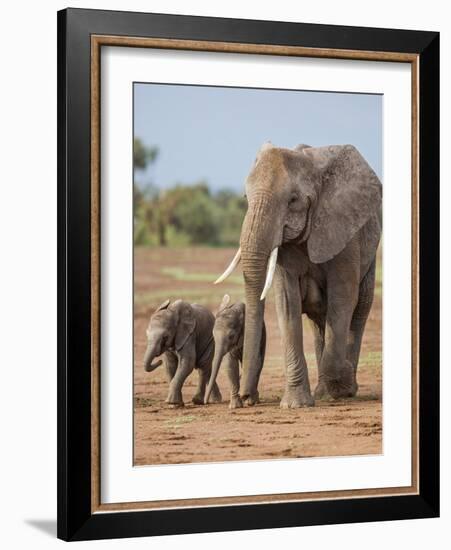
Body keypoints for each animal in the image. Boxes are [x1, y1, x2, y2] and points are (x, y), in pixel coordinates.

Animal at [215, 142, 382, 410]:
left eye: (292, 200)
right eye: (245, 198)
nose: (246, 397)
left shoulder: (343, 232)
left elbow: (343, 299)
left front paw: (343, 384)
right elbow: (287, 303)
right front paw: (296, 405)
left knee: (358, 311)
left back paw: (342, 388)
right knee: (319, 320)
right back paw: (324, 392)